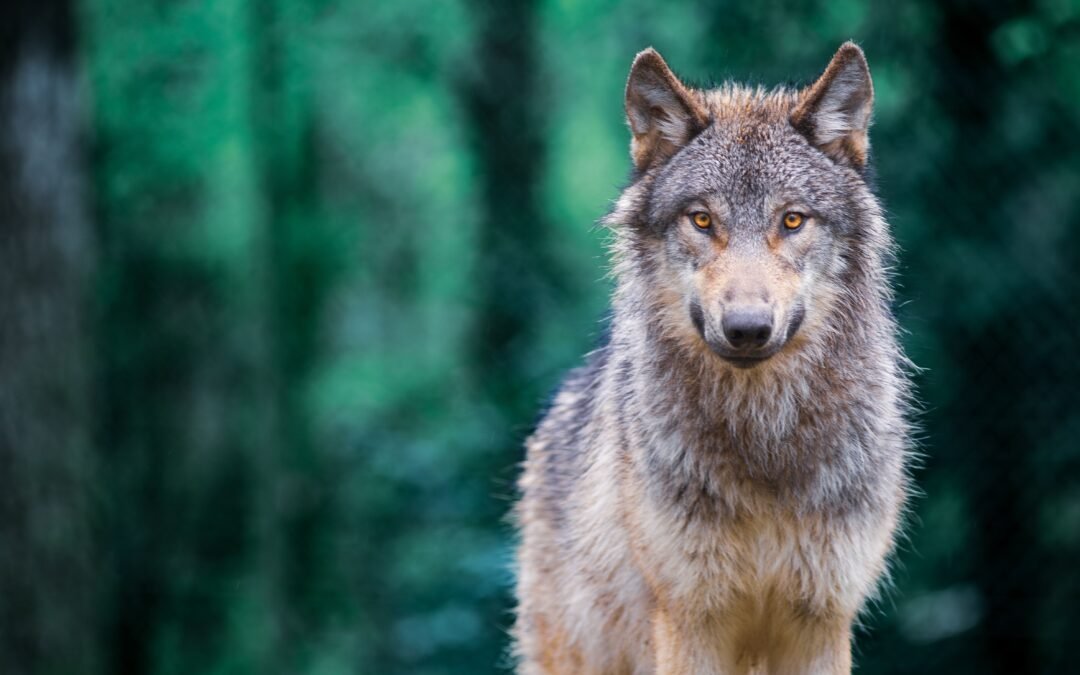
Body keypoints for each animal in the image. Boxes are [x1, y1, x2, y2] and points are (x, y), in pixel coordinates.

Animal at [512, 43, 911, 674]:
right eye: (702, 220)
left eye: (792, 220)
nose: (747, 328)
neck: (763, 444)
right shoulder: (691, 621)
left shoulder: (822, 621)